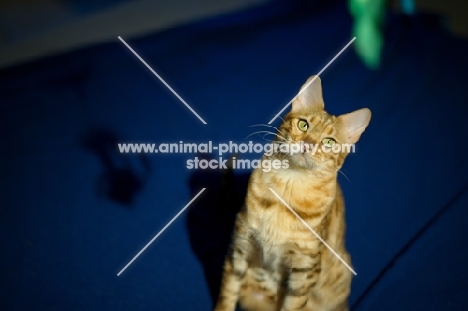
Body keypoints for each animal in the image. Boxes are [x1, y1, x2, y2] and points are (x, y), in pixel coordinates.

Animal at [214, 75, 372, 311]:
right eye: (303, 124)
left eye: (329, 142)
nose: (307, 144)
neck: (289, 185)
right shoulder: (239, 245)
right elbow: (227, 292)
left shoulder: (306, 268)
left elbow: (293, 305)